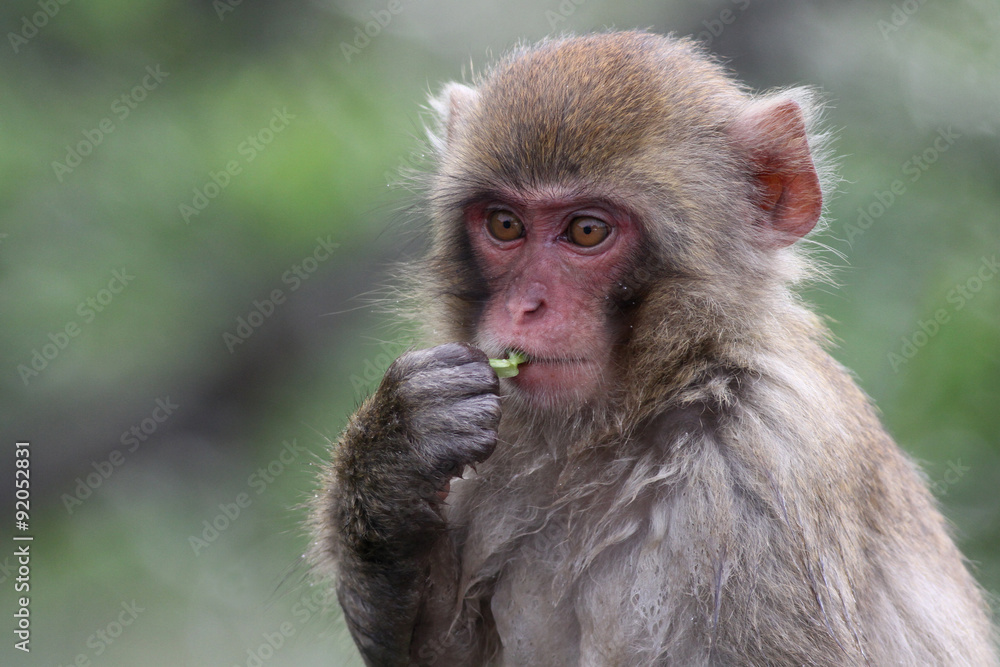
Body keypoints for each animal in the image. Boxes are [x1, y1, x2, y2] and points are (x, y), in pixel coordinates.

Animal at [308, 31, 998, 666]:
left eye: (587, 231)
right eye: (505, 224)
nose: (526, 306)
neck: (640, 406)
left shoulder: (759, 468)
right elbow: (440, 650)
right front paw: (397, 447)